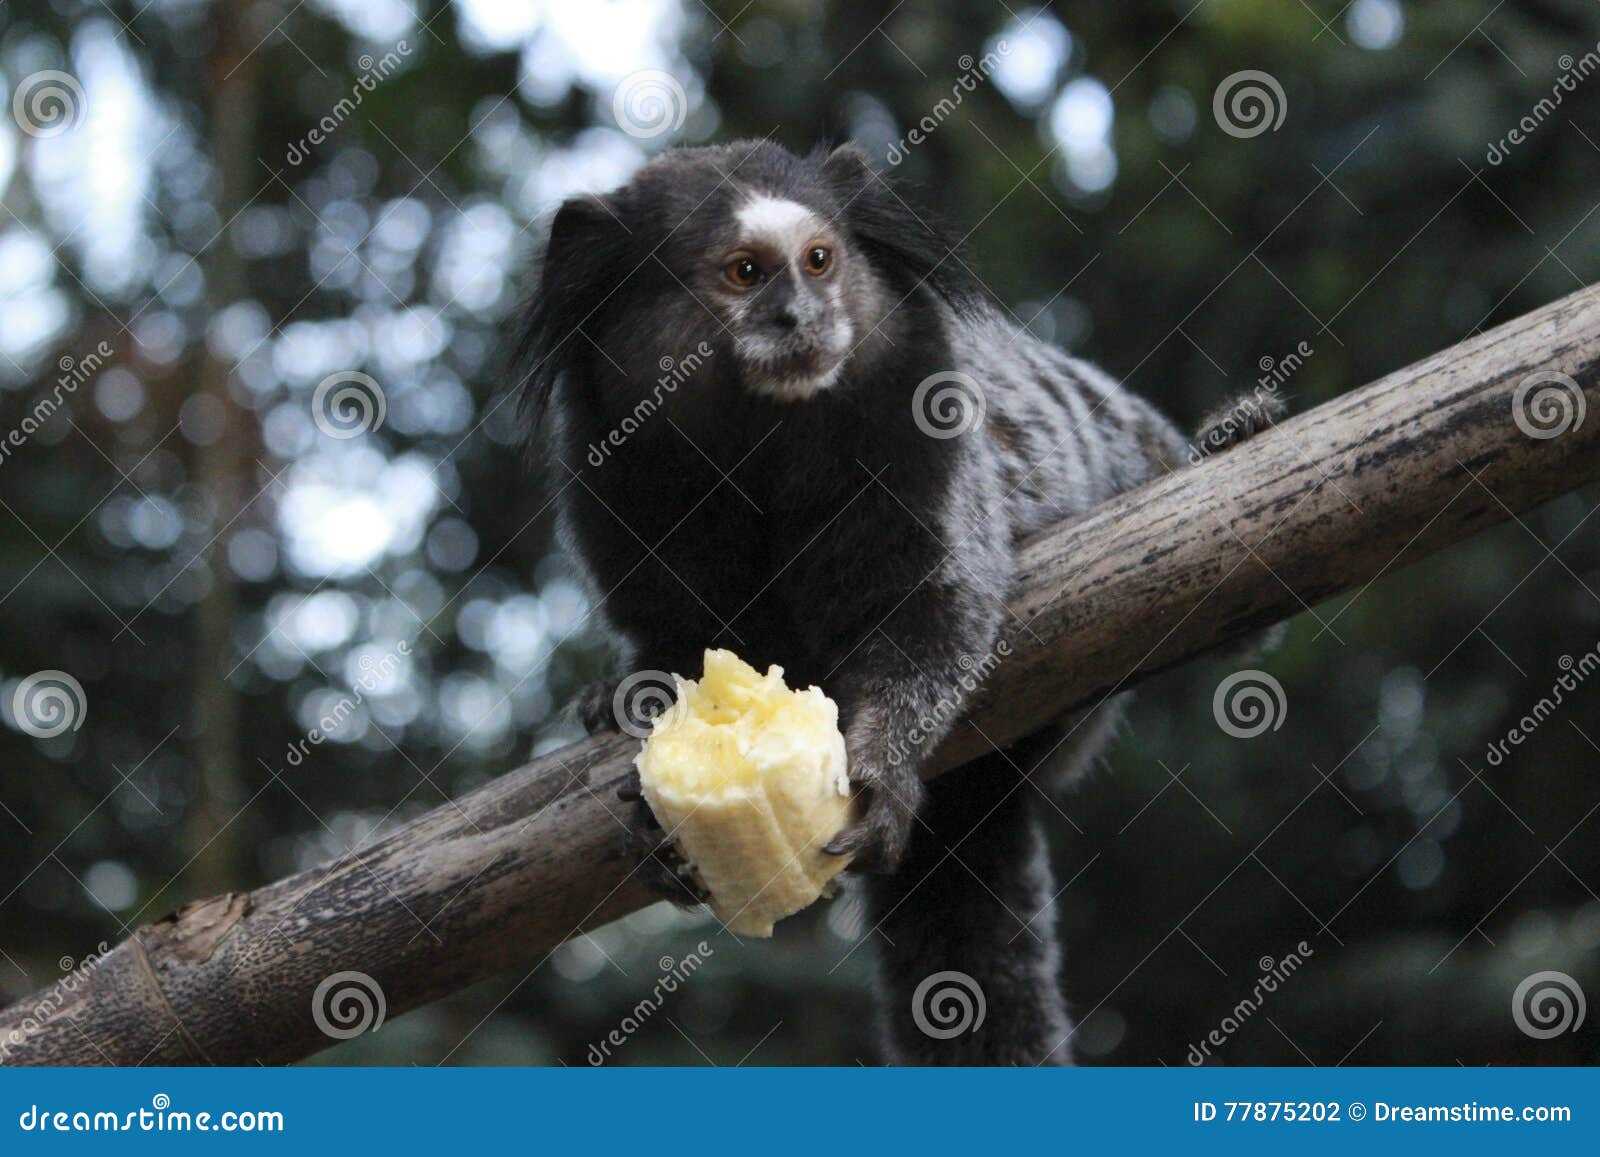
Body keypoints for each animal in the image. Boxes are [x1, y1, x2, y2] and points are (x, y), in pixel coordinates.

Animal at [518, 140, 1280, 1062]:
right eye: (745, 272)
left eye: (819, 260)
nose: (802, 318)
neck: (761, 438)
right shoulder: (618, 469)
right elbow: (674, 641)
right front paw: (639, 759)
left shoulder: (921, 423)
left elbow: (927, 608)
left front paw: (883, 760)